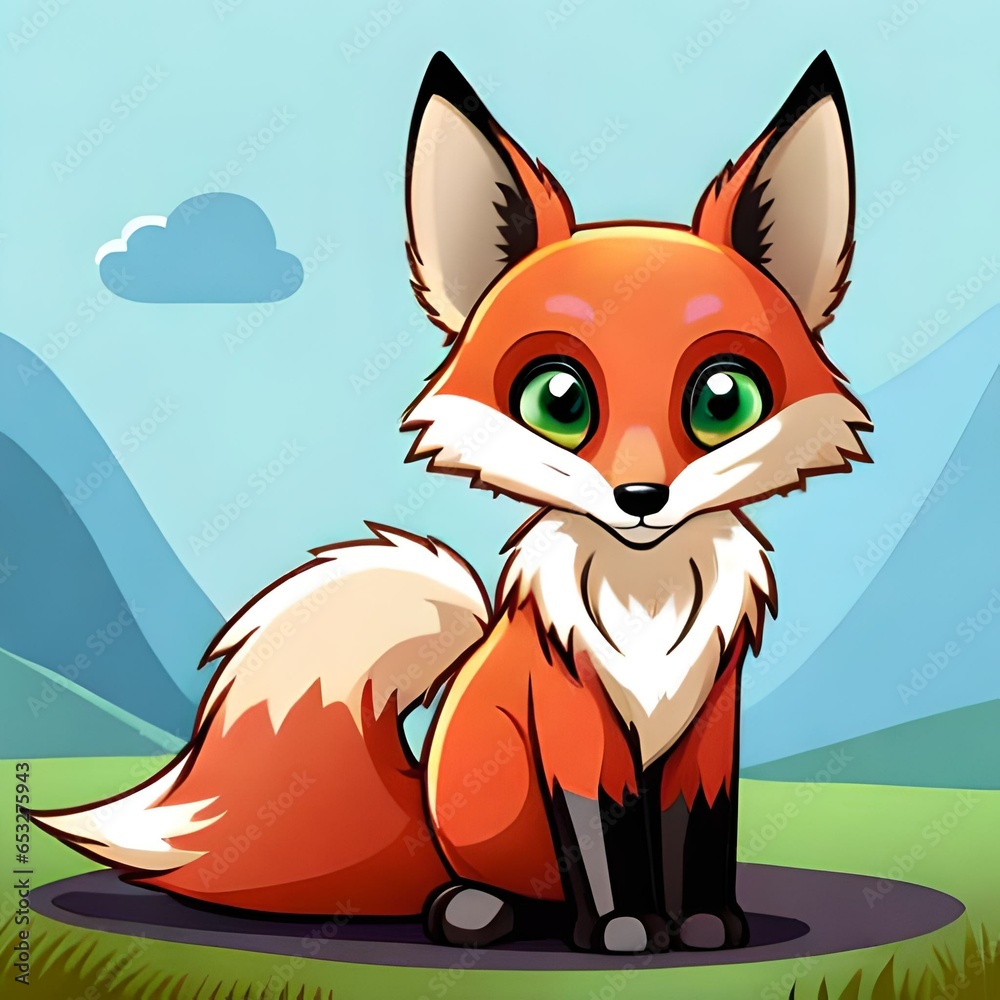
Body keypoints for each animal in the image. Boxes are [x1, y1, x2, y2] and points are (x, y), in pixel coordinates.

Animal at [32, 51, 871, 954]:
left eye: (723, 399)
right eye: (559, 400)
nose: (641, 496)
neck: (646, 603)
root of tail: (423, 826)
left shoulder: (708, 724)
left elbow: (700, 832)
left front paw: (707, 925)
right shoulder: (571, 723)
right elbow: (600, 834)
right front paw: (623, 931)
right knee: (491, 891)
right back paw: (476, 910)